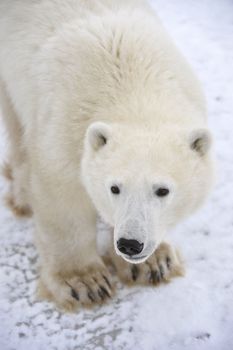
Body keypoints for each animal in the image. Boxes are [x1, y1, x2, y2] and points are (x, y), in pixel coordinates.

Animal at [0, 0, 214, 312]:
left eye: (162, 190)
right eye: (114, 188)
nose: (130, 244)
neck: (132, 89)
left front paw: (154, 263)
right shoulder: (62, 128)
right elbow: (63, 202)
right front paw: (85, 282)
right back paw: (22, 195)